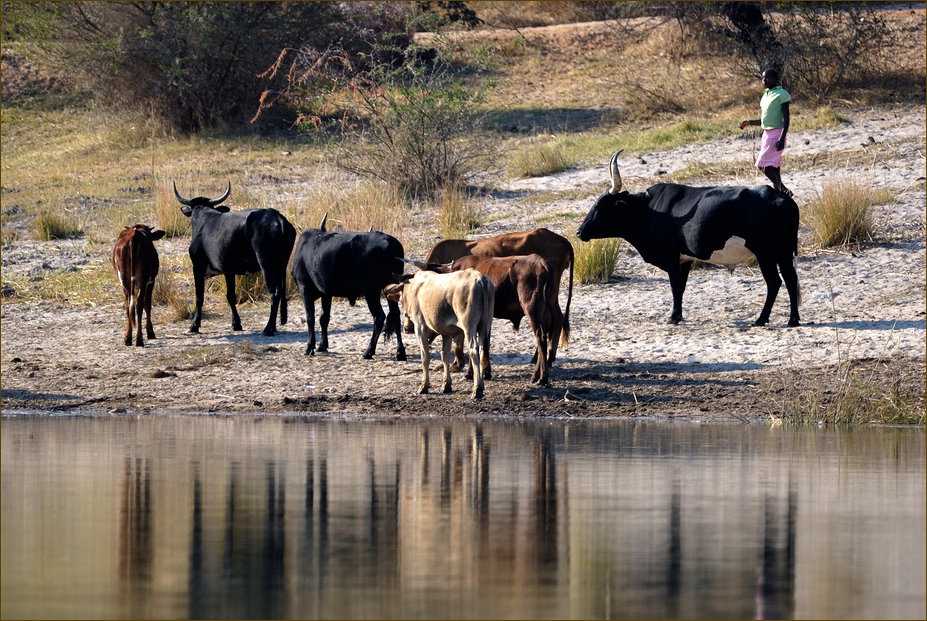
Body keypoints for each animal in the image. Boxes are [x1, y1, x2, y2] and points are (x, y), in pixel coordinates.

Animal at [175, 182, 298, 336]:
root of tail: (276, 217)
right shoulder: (228, 270)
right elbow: (231, 296)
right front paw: (236, 324)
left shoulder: (198, 266)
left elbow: (199, 297)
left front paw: (194, 326)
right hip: (281, 265)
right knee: (280, 291)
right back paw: (273, 327)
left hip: (267, 265)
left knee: (274, 292)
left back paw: (268, 328)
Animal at [290, 214, 406, 356]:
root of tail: (392, 244)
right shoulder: (326, 293)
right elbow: (324, 317)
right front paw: (322, 345)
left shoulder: (305, 288)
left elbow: (310, 317)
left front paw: (309, 347)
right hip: (390, 287)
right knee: (395, 315)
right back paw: (400, 352)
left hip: (371, 290)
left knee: (379, 316)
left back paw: (369, 351)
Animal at [576, 151, 800, 326]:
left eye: (600, 207)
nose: (579, 232)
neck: (650, 210)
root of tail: (783, 197)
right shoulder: (684, 259)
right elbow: (681, 288)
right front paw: (677, 315)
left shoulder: (671, 257)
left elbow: (675, 286)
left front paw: (673, 317)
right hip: (784, 250)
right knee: (790, 278)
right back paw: (793, 320)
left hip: (765, 253)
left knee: (774, 282)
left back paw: (761, 319)